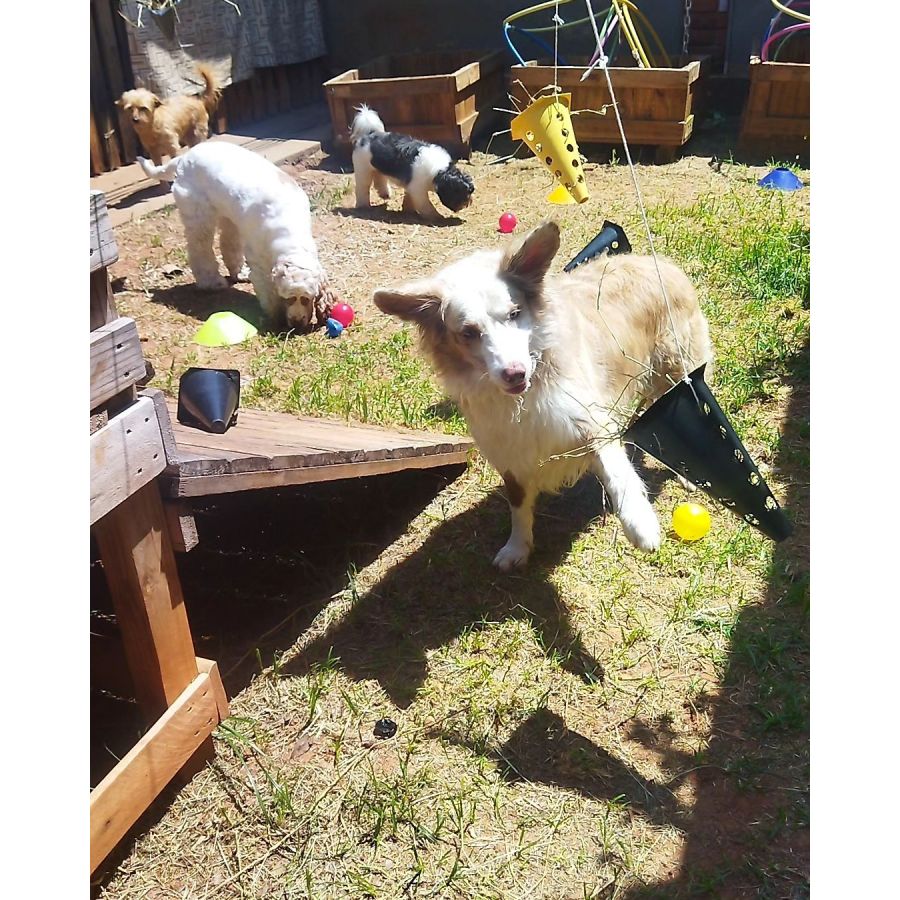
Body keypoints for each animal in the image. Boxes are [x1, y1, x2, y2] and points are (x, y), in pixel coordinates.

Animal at [138, 141, 337, 332]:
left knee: (227, 242)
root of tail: (183, 157)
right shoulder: (259, 264)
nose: (296, 323)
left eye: (306, 298)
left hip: (230, 217)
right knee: (200, 250)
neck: (290, 237)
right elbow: (268, 293)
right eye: (287, 298)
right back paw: (211, 282)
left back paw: (239, 273)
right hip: (199, 215)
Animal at [373, 221, 713, 570]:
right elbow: (518, 506)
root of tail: (652, 260)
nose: (514, 373)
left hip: (678, 372)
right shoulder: (508, 453)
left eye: (514, 313)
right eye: (468, 333)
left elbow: (619, 474)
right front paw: (517, 547)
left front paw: (640, 523)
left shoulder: (591, 420)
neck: (526, 393)